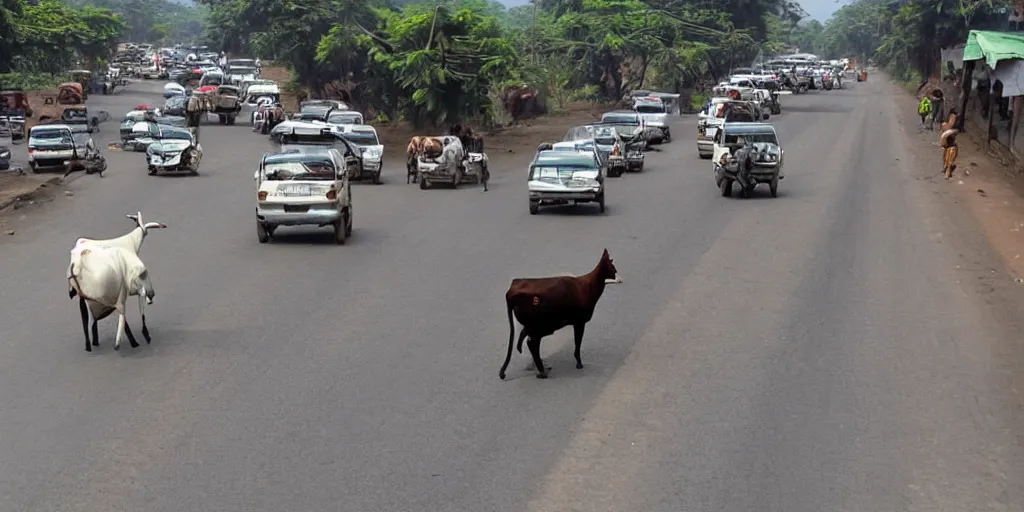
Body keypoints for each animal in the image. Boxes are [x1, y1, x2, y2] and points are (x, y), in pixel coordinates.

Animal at [497, 248, 618, 380]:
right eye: (612, 266)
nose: (616, 273)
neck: (590, 286)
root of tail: (511, 293)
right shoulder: (579, 322)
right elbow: (578, 343)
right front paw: (579, 363)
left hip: (536, 327)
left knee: (525, 340)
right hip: (539, 327)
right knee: (532, 344)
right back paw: (542, 371)